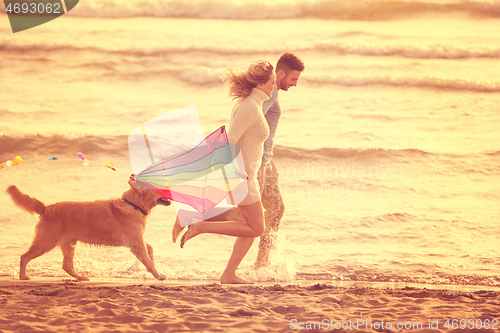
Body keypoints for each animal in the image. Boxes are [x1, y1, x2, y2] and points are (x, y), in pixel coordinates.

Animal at [5, 179, 172, 280]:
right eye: (158, 188)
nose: (170, 189)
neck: (134, 204)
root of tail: (46, 208)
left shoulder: (137, 240)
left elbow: (150, 249)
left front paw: (154, 266)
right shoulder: (135, 243)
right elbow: (148, 260)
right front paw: (159, 275)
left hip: (68, 244)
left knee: (66, 265)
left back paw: (80, 277)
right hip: (46, 242)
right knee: (24, 257)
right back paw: (22, 277)